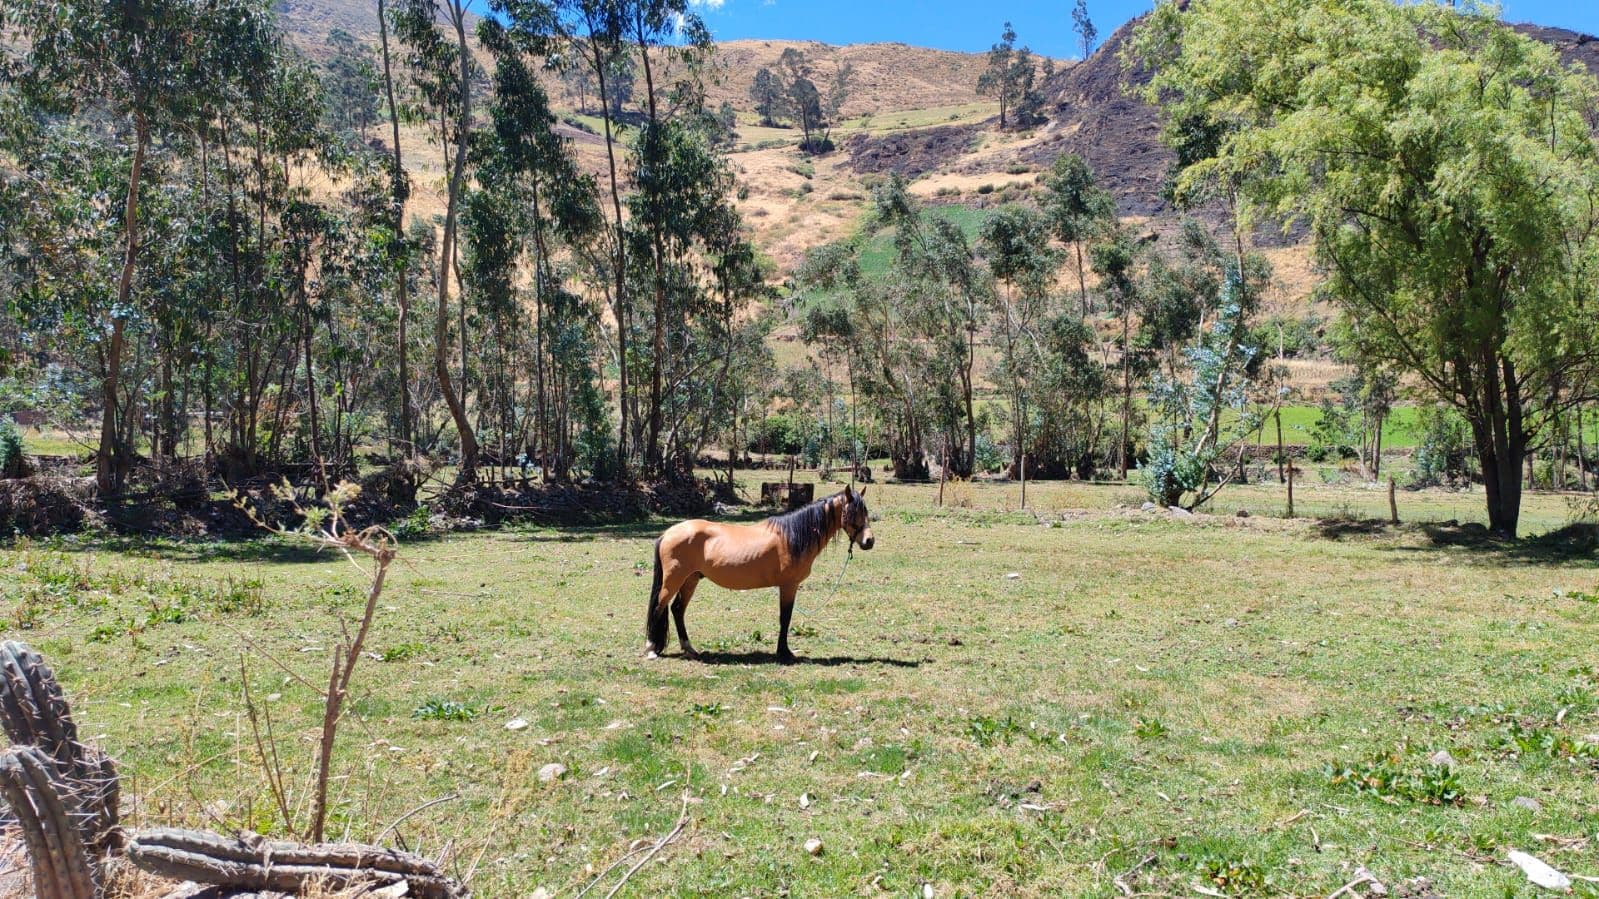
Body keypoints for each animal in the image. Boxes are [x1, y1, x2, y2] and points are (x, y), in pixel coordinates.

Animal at [645, 485, 875, 663]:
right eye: (852, 513)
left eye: (866, 513)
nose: (869, 541)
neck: (792, 536)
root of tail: (667, 533)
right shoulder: (789, 585)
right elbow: (785, 617)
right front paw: (784, 653)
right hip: (674, 579)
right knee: (659, 606)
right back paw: (651, 649)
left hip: (691, 579)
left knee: (677, 609)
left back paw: (689, 649)